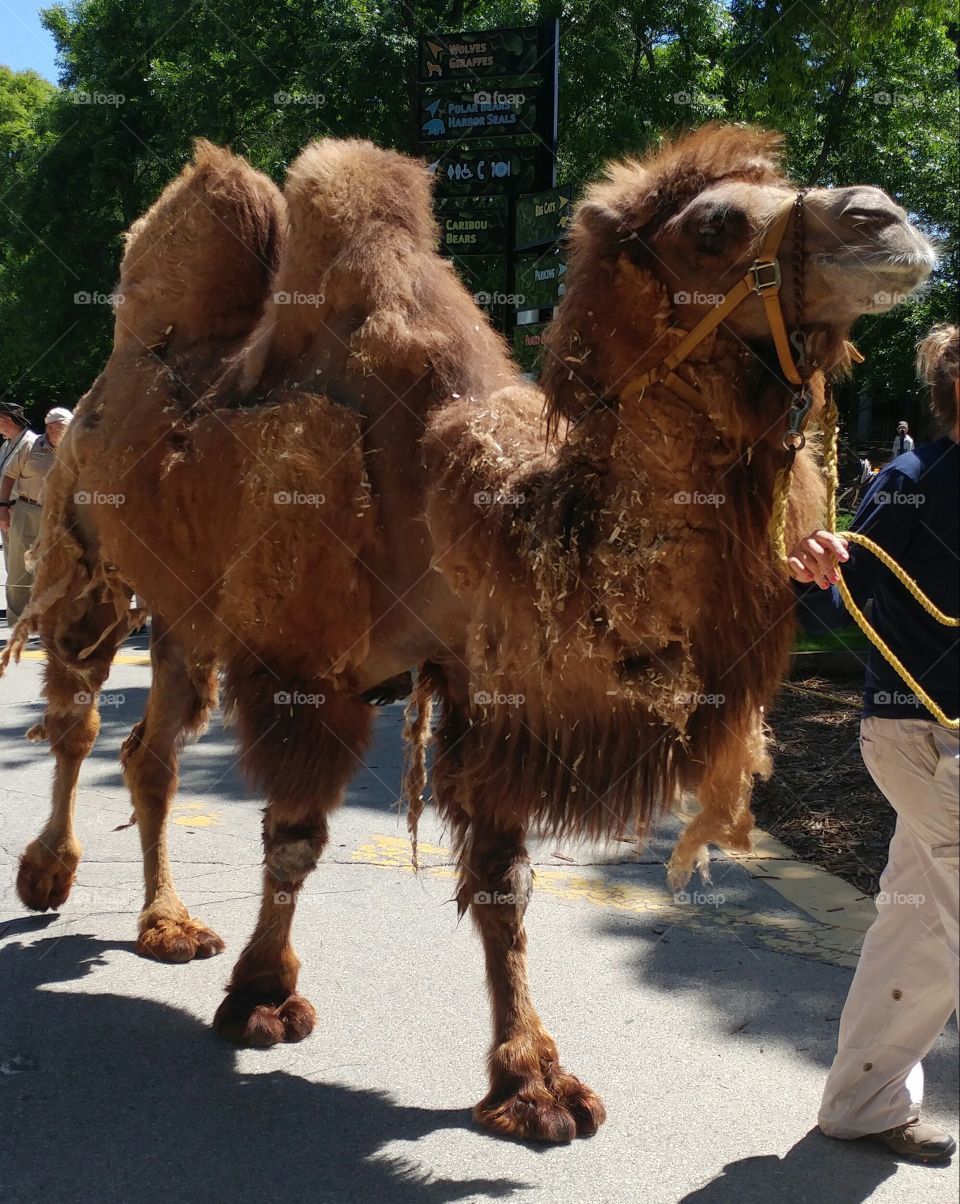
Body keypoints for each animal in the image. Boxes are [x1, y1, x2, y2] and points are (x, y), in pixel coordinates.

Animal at [2, 126, 933, 1142]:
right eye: (714, 224)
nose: (887, 219)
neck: (484, 509)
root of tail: (99, 395)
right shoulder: (307, 666)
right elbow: (295, 836)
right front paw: (261, 998)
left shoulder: (488, 687)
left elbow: (501, 880)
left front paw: (533, 1081)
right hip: (90, 552)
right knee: (81, 714)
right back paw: (48, 878)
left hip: (186, 616)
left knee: (151, 751)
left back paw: (167, 925)